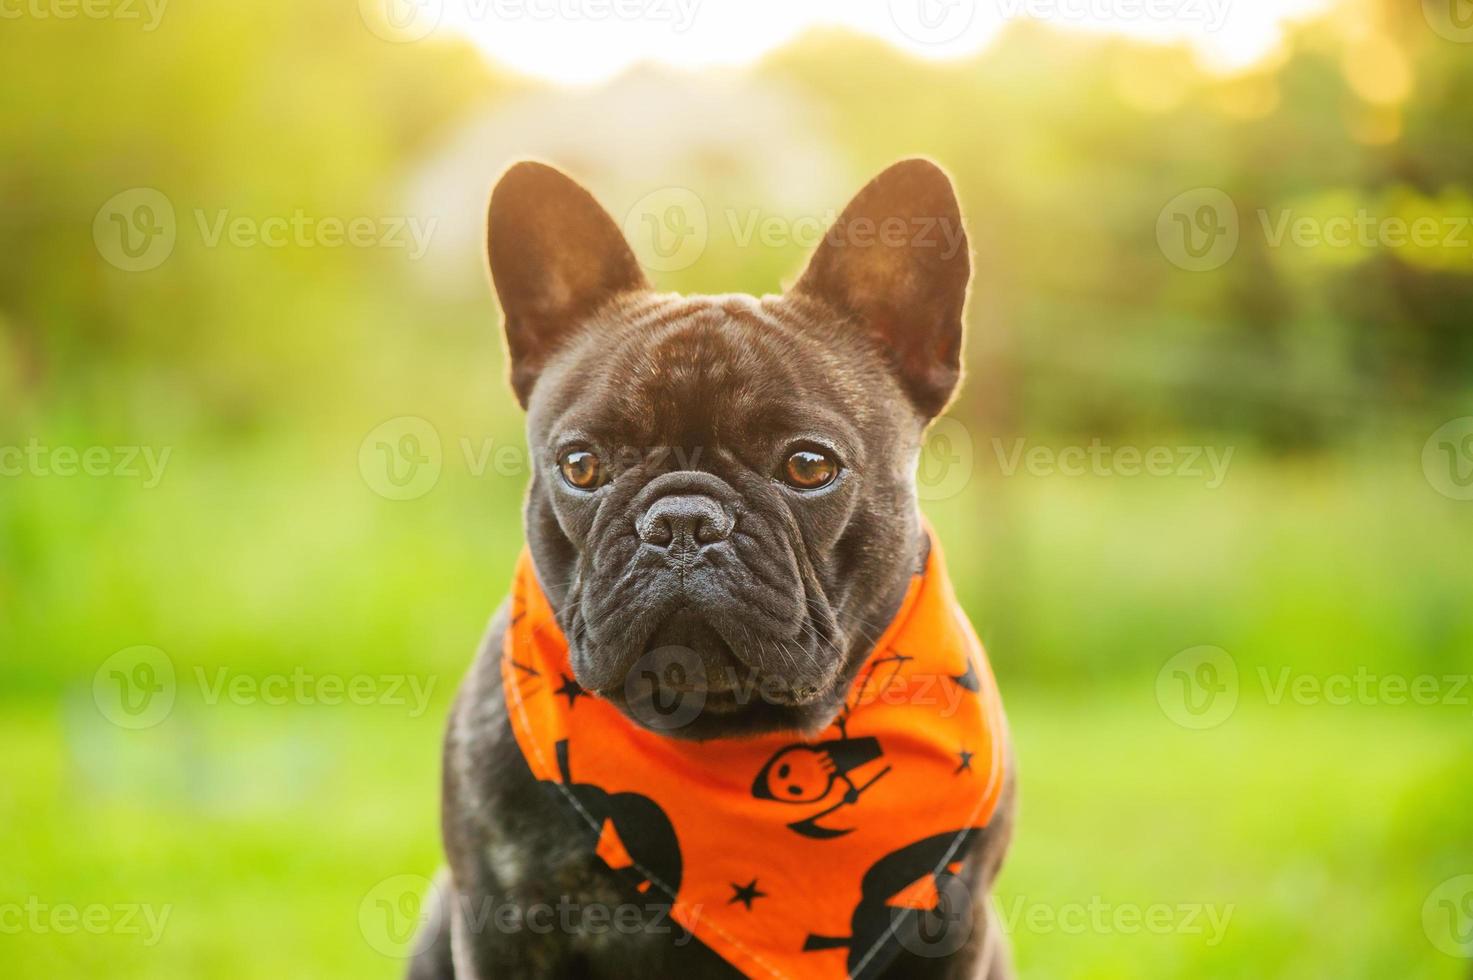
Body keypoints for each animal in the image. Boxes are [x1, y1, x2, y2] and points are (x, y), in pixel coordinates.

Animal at [409, 156, 1019, 972]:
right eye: (581, 464)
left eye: (808, 466)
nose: (682, 522)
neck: (720, 732)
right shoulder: (502, 920)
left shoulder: (950, 927)